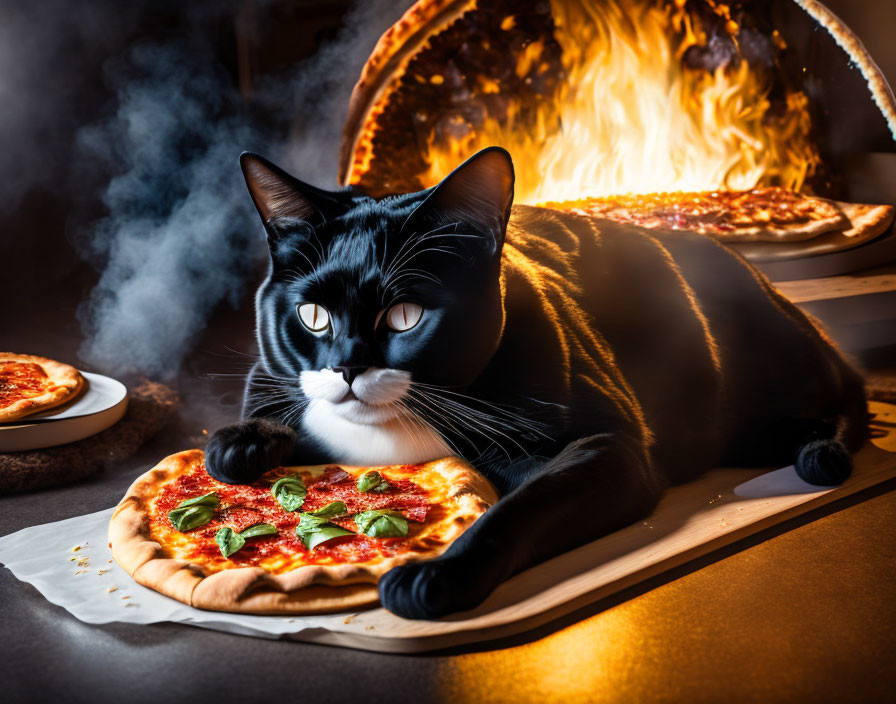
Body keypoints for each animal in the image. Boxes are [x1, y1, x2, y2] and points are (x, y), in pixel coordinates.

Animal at [206, 147, 864, 616]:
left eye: (405, 315)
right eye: (313, 315)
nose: (346, 366)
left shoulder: (611, 448)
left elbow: (521, 507)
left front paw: (433, 575)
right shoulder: (270, 377)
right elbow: (254, 415)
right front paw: (240, 441)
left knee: (836, 404)